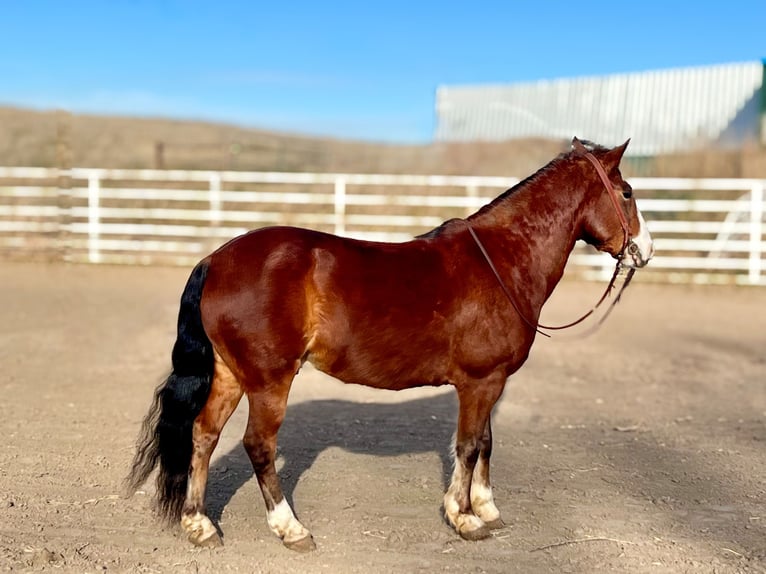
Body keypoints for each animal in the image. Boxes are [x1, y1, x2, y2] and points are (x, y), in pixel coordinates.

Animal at [126, 138, 656, 552]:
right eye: (627, 192)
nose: (645, 251)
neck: (501, 261)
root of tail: (215, 260)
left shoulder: (491, 382)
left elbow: (485, 442)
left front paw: (486, 507)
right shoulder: (480, 382)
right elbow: (468, 446)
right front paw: (464, 517)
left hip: (230, 374)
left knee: (203, 435)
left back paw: (199, 525)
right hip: (268, 379)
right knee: (258, 445)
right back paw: (291, 529)